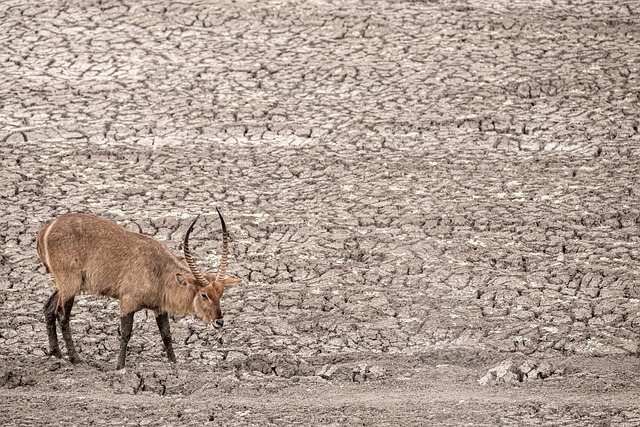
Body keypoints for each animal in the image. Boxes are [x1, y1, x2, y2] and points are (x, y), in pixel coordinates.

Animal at [35, 209, 240, 370]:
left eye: (221, 293)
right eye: (204, 294)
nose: (219, 321)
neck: (159, 270)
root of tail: (47, 228)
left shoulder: (159, 308)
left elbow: (166, 335)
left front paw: (174, 364)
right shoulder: (127, 302)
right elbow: (126, 333)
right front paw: (120, 366)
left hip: (67, 284)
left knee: (48, 308)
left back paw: (56, 353)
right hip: (70, 283)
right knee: (62, 315)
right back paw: (75, 359)